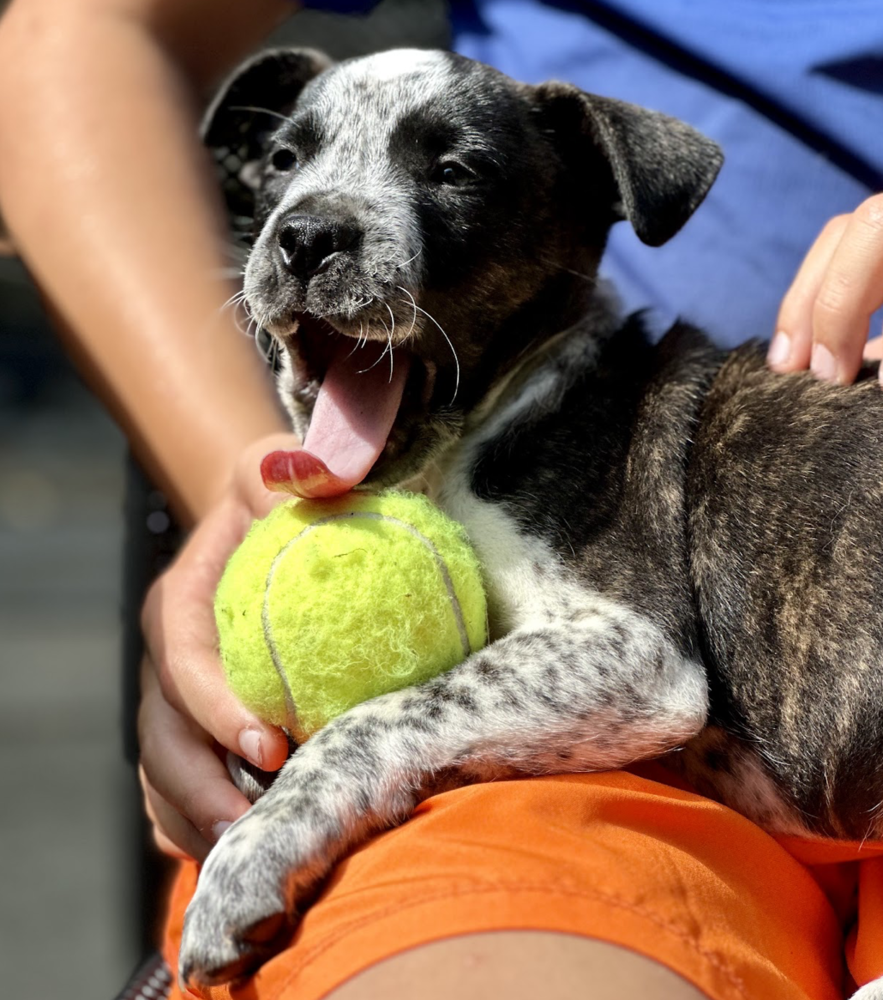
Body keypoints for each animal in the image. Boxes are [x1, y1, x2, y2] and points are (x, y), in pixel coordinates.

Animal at [178, 45, 883, 992]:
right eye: (284, 162)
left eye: (454, 172)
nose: (306, 236)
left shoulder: (634, 647)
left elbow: (392, 708)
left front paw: (254, 850)